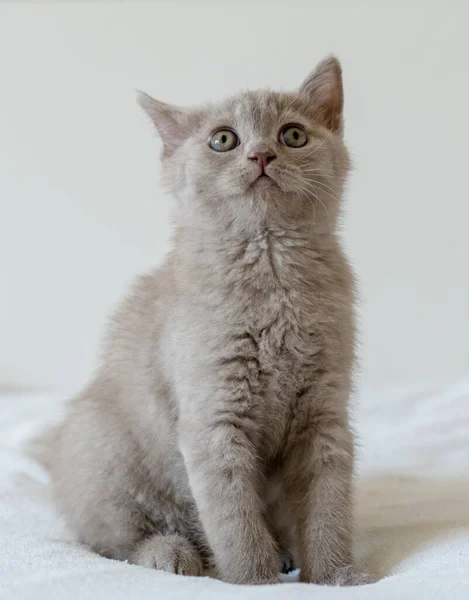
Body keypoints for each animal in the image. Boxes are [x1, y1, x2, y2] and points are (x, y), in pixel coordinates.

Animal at [39, 57, 370, 584]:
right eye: (223, 140)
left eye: (293, 135)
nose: (260, 155)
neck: (271, 270)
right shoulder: (213, 419)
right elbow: (234, 519)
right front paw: (255, 581)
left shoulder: (324, 415)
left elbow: (328, 505)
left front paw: (335, 577)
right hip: (104, 451)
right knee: (112, 538)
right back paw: (170, 553)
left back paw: (283, 550)